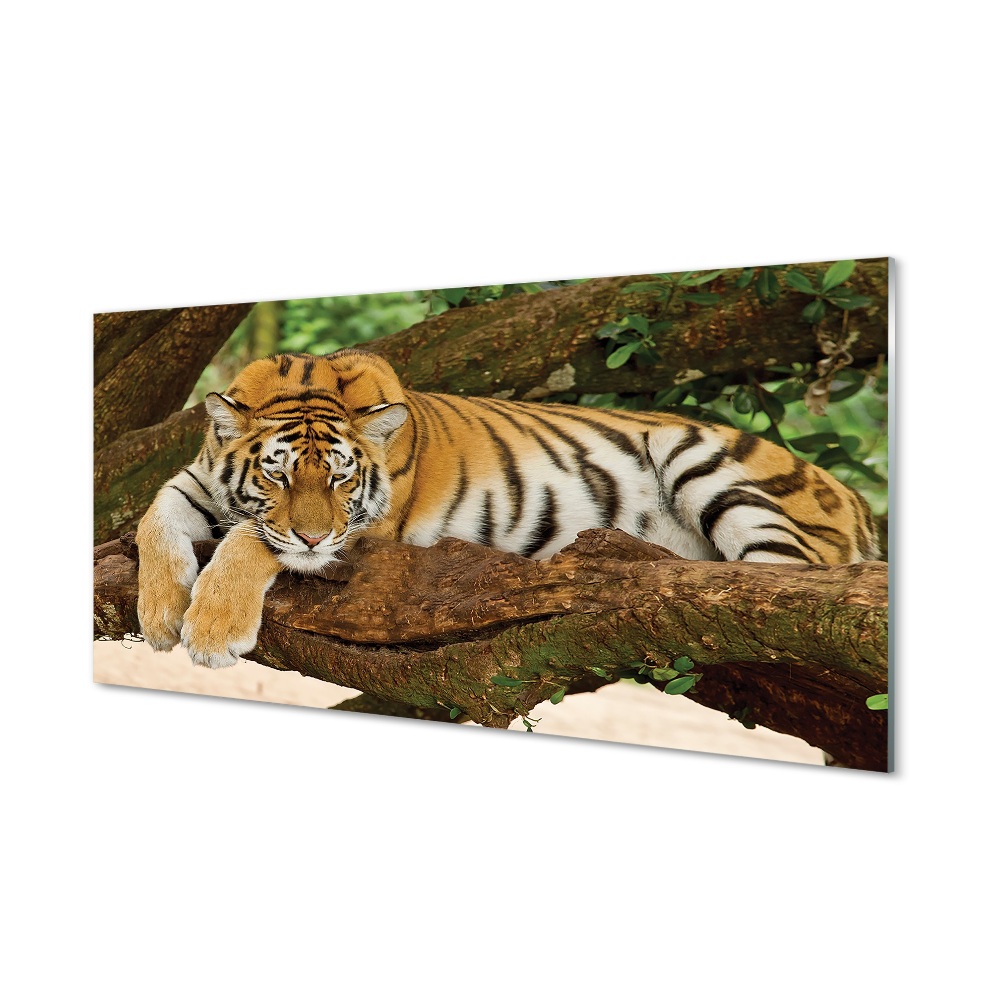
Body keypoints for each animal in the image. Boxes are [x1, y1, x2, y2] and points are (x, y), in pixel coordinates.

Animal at [135, 349, 880, 668]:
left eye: (344, 481)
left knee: (768, 589)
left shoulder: (362, 530)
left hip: (705, 460)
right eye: (278, 475)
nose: (317, 539)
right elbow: (153, 521)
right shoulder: (196, 481)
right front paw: (162, 613)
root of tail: (854, 497)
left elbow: (252, 540)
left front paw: (211, 629)